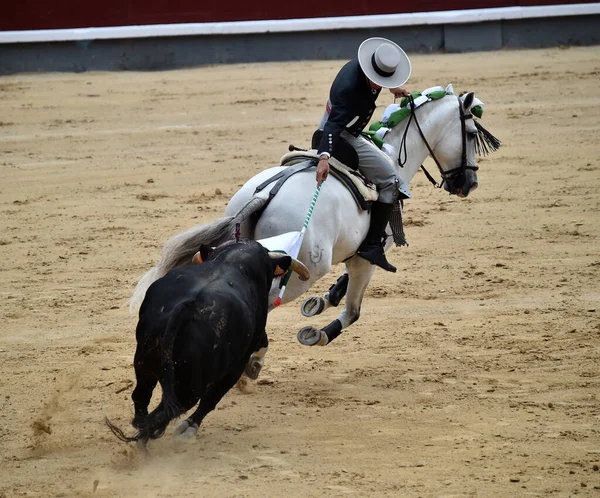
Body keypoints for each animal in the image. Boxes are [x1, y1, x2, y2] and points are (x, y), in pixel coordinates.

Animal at [105, 239, 308, 446]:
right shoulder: (238, 361)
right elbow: (213, 398)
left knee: (142, 397)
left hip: (145, 360)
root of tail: (187, 308)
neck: (232, 261)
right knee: (170, 410)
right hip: (191, 383)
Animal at [130, 84, 496, 374]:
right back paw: (253, 359)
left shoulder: (358, 253)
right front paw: (316, 332)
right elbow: (353, 309)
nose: (470, 183)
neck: (392, 155)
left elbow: (344, 287)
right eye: (471, 134)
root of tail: (266, 194)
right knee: (266, 302)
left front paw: (320, 302)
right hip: (303, 270)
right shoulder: (370, 254)